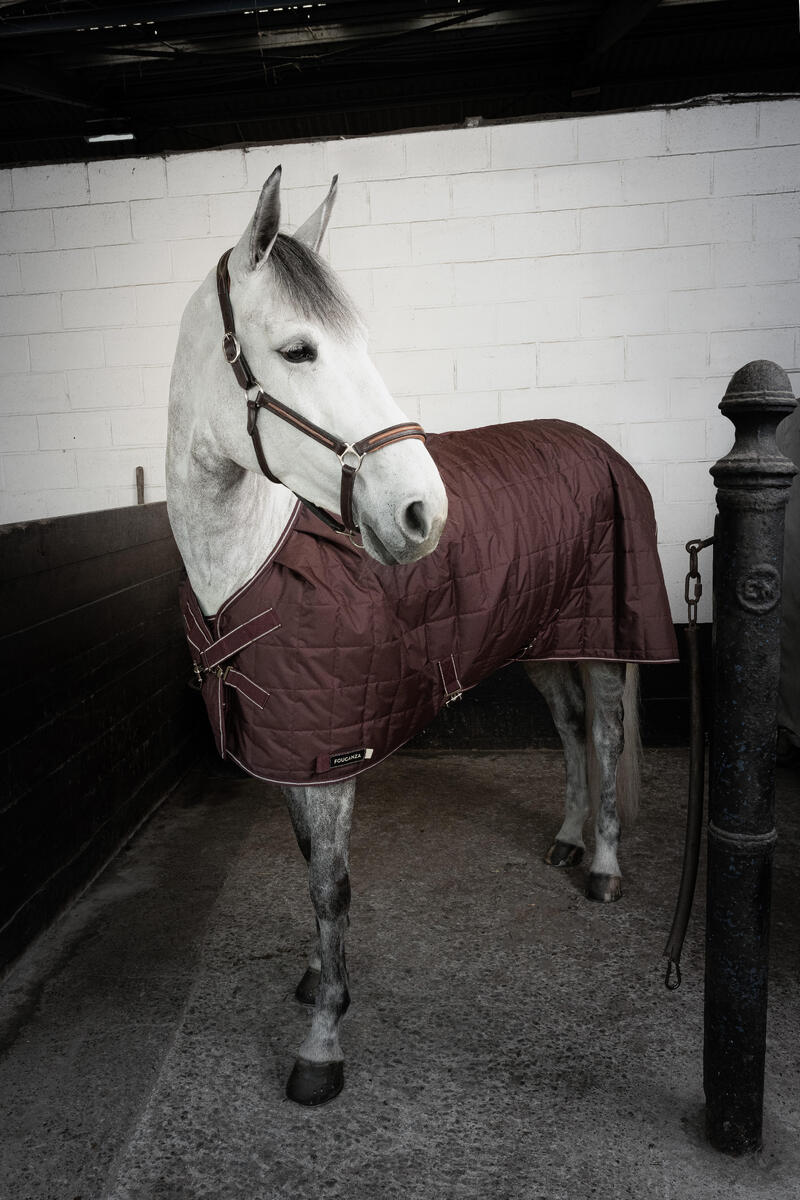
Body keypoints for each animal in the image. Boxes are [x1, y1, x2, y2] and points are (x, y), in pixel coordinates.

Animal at [166, 167, 677, 1107]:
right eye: (300, 350)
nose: (421, 514)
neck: (247, 563)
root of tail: (595, 443)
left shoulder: (333, 749)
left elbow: (331, 886)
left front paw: (323, 1041)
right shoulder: (295, 742)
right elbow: (309, 863)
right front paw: (316, 977)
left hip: (598, 635)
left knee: (607, 732)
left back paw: (603, 864)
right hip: (537, 640)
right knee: (569, 728)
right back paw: (568, 837)